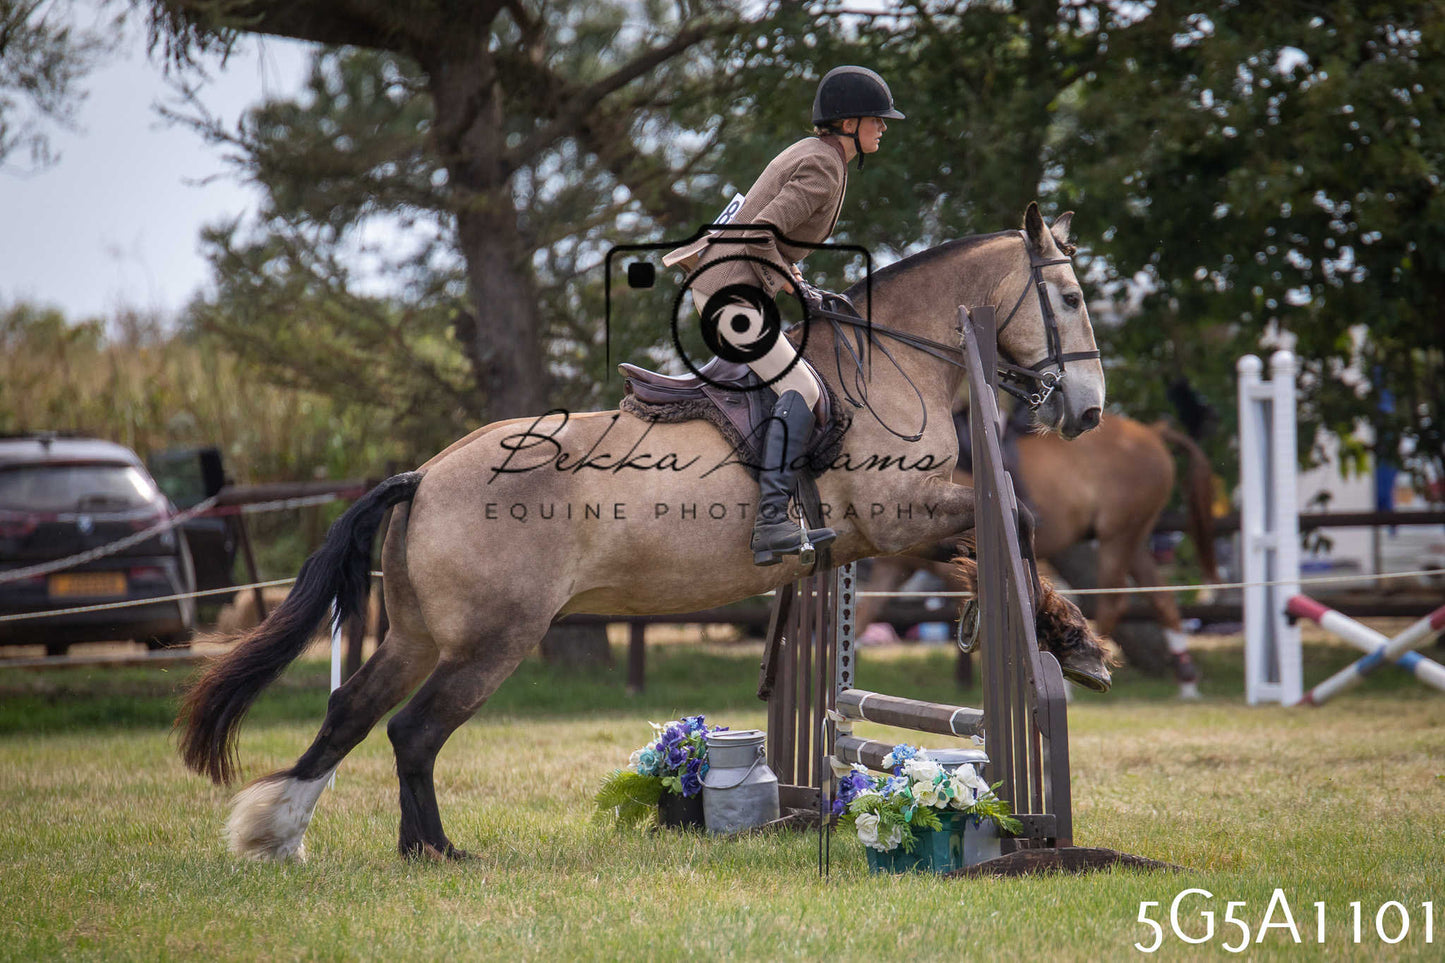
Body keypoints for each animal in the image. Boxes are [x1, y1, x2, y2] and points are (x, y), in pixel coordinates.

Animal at [176, 203, 1106, 861]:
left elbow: (988, 545)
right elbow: (1016, 524)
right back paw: (433, 850)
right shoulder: (895, 513)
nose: (1087, 412)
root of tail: (425, 475)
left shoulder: (881, 536)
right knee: (413, 729)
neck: (895, 362)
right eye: (1067, 299)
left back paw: (283, 832)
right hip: (494, 637)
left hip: (415, 631)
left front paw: (1068, 639)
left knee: (352, 711)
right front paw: (1060, 642)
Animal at [858, 413, 1218, 696]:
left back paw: (1074, 678)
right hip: (1136, 535)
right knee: (1162, 597)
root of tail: (1152, 431)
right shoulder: (895, 567)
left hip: (1119, 534)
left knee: (1114, 601)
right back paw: (1187, 682)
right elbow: (864, 613)